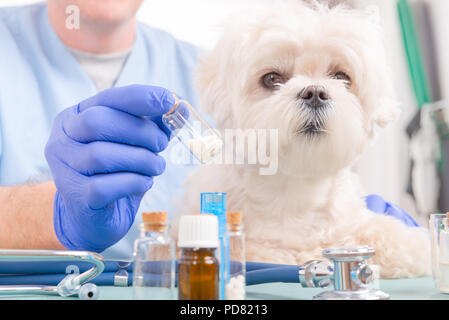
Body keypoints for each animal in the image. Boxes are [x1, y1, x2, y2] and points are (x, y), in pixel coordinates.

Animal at [172, 0, 430, 278]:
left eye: (341, 77)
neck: (295, 189)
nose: (315, 92)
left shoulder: (354, 221)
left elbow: (389, 238)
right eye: (272, 78)